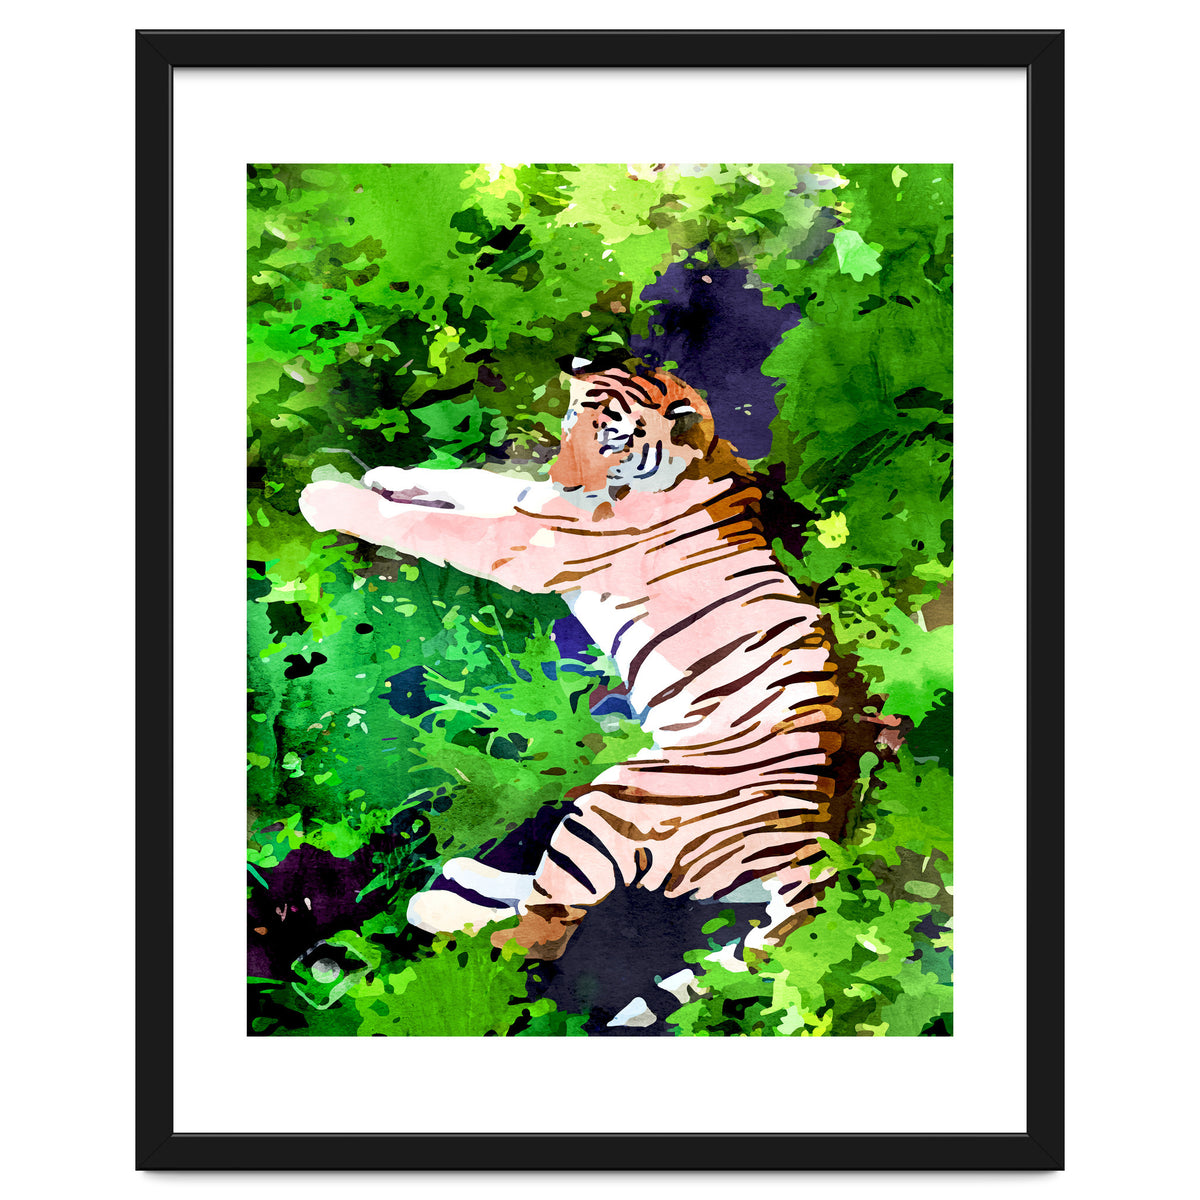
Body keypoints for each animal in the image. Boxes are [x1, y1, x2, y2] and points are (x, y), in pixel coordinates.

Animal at [299, 362, 868, 961]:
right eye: (572, 421)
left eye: (613, 440)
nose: (565, 478)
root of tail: (811, 850)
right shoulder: (532, 503)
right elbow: (472, 481)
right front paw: (387, 474)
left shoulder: (523, 541)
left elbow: (420, 524)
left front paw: (325, 497)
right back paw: (466, 872)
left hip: (616, 805)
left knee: (540, 933)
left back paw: (432, 906)